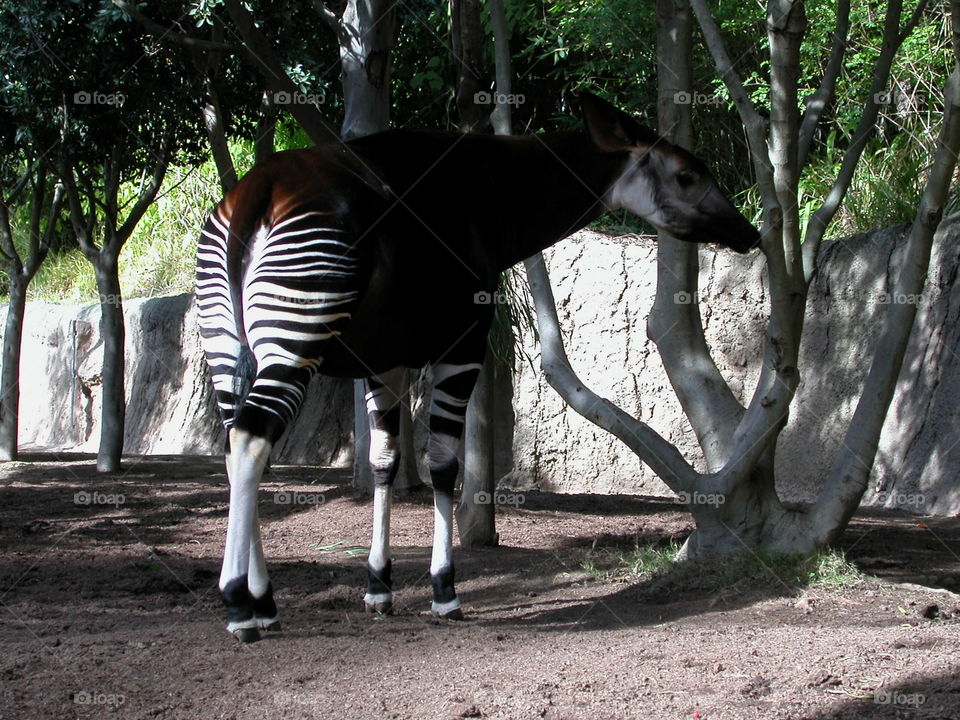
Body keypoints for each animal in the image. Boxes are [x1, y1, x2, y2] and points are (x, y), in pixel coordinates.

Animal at [195, 92, 760, 642]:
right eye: (687, 176)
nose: (749, 232)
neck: (496, 197)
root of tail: (254, 196)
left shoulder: (385, 360)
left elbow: (385, 460)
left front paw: (379, 590)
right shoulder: (464, 342)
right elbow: (445, 462)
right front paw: (445, 591)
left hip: (225, 344)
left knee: (235, 440)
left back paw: (264, 604)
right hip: (296, 336)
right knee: (251, 436)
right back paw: (239, 606)